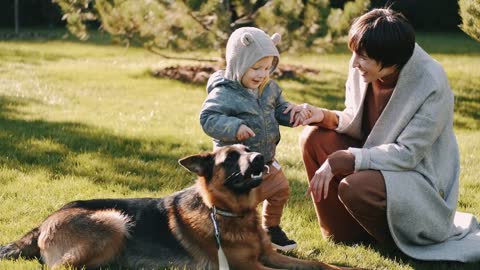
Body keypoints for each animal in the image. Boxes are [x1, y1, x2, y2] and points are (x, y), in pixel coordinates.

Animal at [0, 146, 356, 270]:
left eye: (248, 149)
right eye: (231, 158)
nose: (260, 158)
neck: (229, 213)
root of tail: (45, 221)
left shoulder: (270, 256)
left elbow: (322, 265)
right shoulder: (249, 268)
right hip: (115, 222)